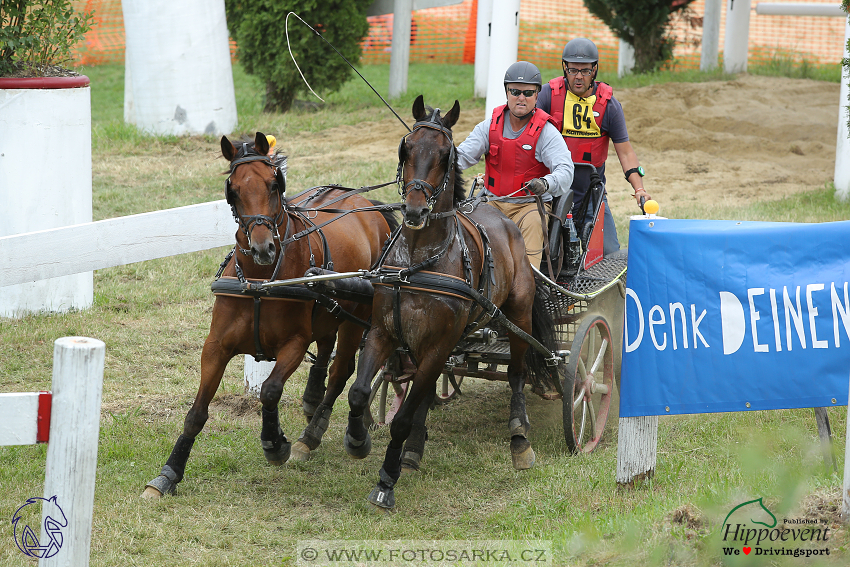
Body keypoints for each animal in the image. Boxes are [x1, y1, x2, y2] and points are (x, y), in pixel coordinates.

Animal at [144, 132, 396, 496]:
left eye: (274, 184)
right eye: (233, 190)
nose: (263, 248)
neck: (261, 281)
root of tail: (368, 206)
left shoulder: (293, 343)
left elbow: (270, 391)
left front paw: (274, 443)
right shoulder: (215, 347)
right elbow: (197, 412)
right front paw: (169, 473)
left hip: (354, 317)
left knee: (342, 372)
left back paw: (325, 434)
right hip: (328, 315)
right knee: (326, 355)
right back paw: (314, 403)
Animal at [342, 97, 560, 510]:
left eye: (446, 155)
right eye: (407, 147)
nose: (414, 210)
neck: (417, 261)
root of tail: (502, 217)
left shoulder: (437, 345)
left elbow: (402, 418)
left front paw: (386, 480)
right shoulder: (383, 332)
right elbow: (360, 392)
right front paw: (358, 439)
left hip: (518, 315)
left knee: (517, 373)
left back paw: (520, 438)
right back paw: (414, 448)